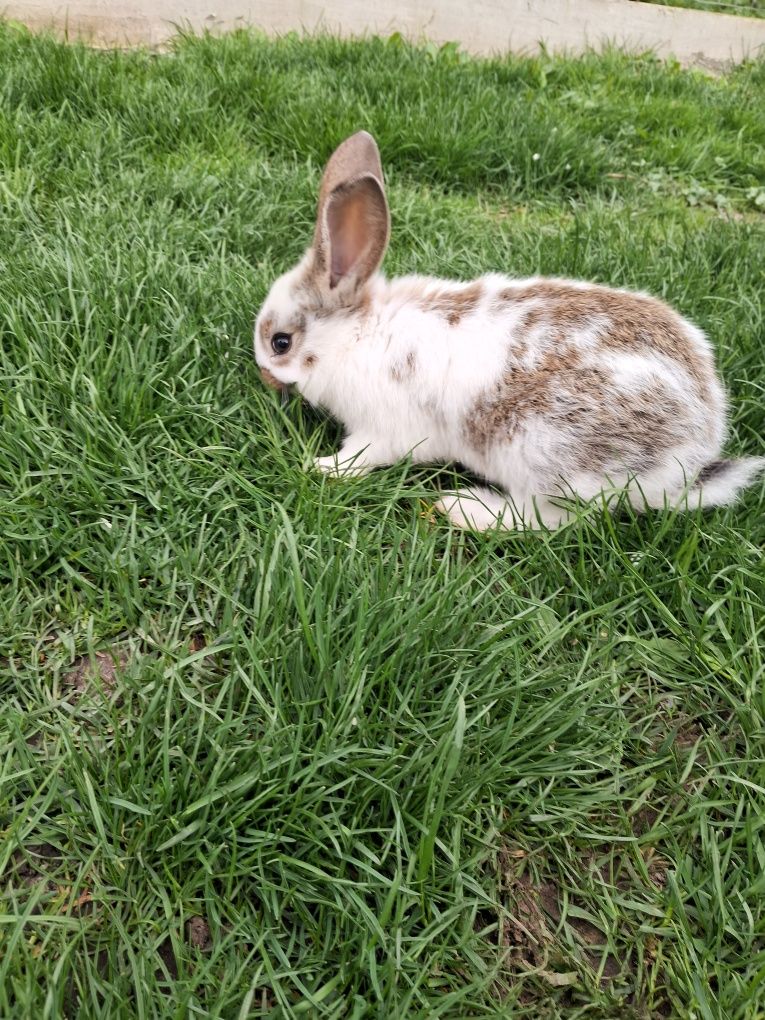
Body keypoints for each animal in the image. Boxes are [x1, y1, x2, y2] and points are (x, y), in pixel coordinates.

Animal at [255, 131, 762, 530]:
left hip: (542, 456)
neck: (356, 336)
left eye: (281, 342)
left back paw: (463, 510)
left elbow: (361, 456)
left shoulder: (383, 429)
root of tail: (693, 453)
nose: (264, 378)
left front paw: (320, 467)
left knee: (549, 518)